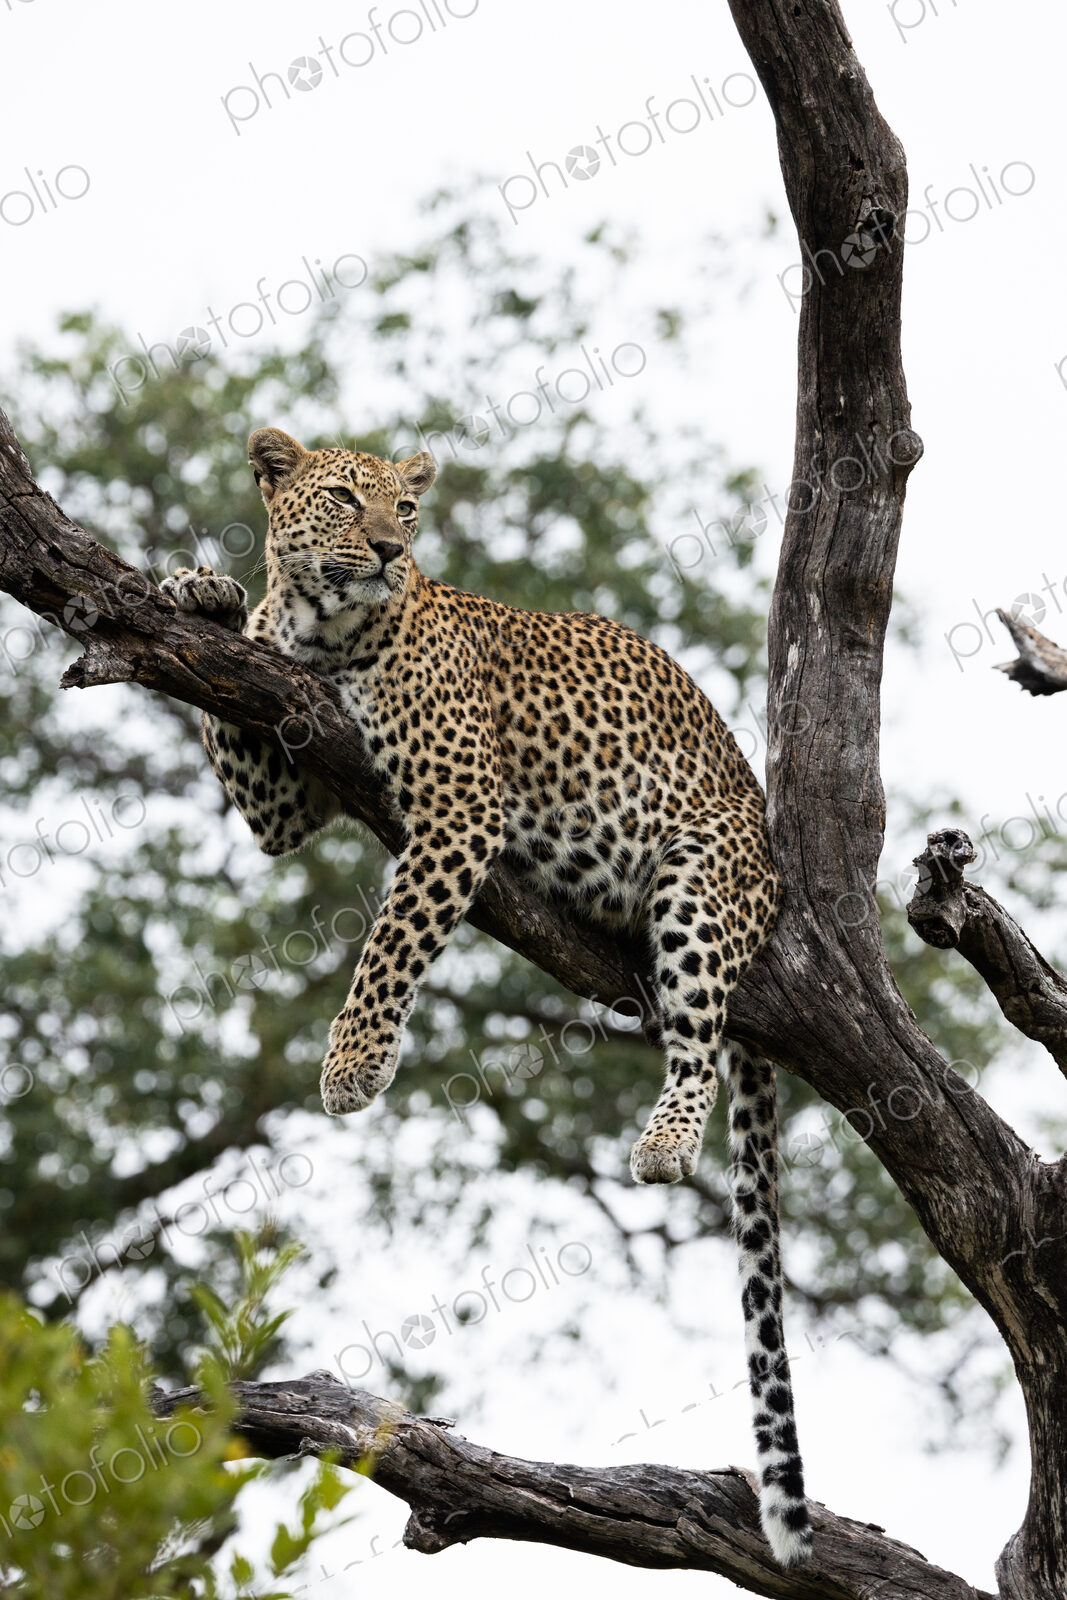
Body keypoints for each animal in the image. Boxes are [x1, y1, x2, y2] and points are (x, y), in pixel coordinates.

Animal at [160, 426, 812, 1568]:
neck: (324, 633)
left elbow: (390, 943)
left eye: (406, 512)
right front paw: (204, 590)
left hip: (701, 878)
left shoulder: (458, 810)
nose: (386, 550)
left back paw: (665, 1140)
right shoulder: (286, 790)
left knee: (698, 1031)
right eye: (343, 498)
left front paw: (352, 1065)